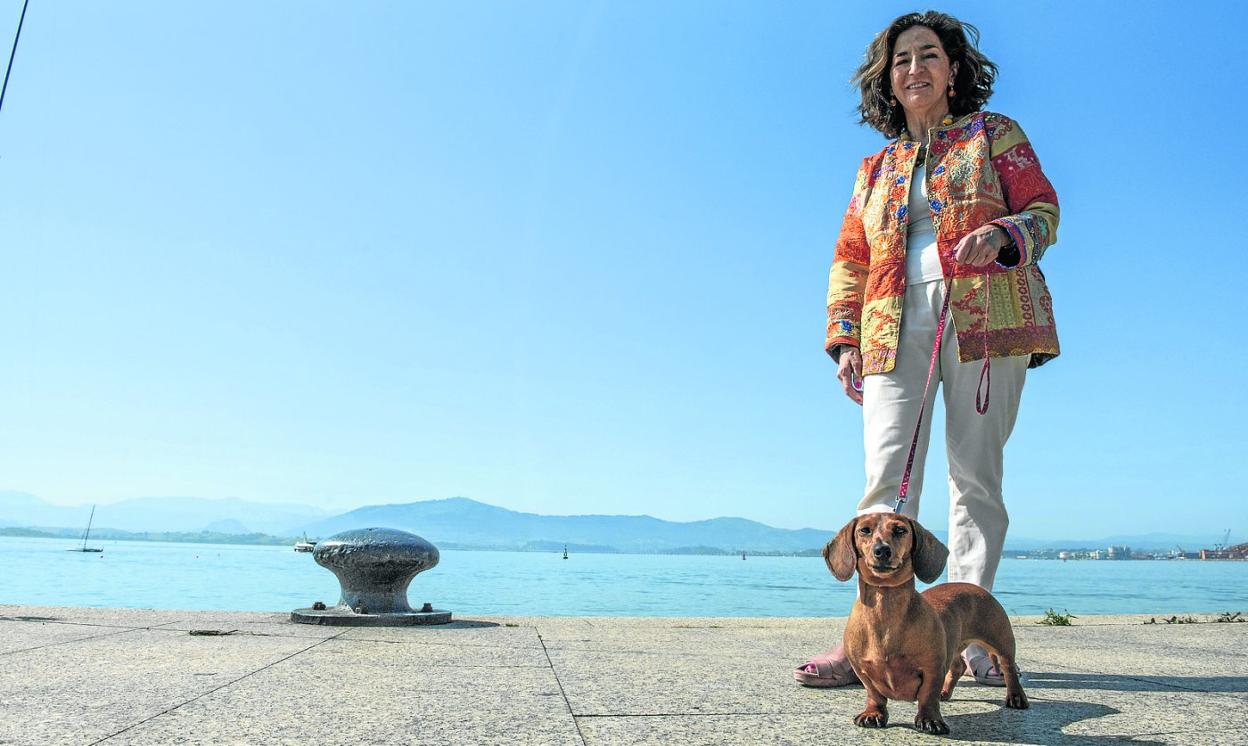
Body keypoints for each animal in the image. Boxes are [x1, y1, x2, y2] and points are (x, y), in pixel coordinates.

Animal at [823, 513, 1028, 738]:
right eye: (864, 530)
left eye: (900, 530)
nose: (882, 550)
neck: (885, 604)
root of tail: (976, 588)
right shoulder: (861, 670)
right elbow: (874, 694)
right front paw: (873, 713)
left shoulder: (933, 667)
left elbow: (928, 695)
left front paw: (930, 719)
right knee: (958, 666)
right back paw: (945, 692)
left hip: (1001, 641)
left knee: (1009, 668)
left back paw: (1016, 697)